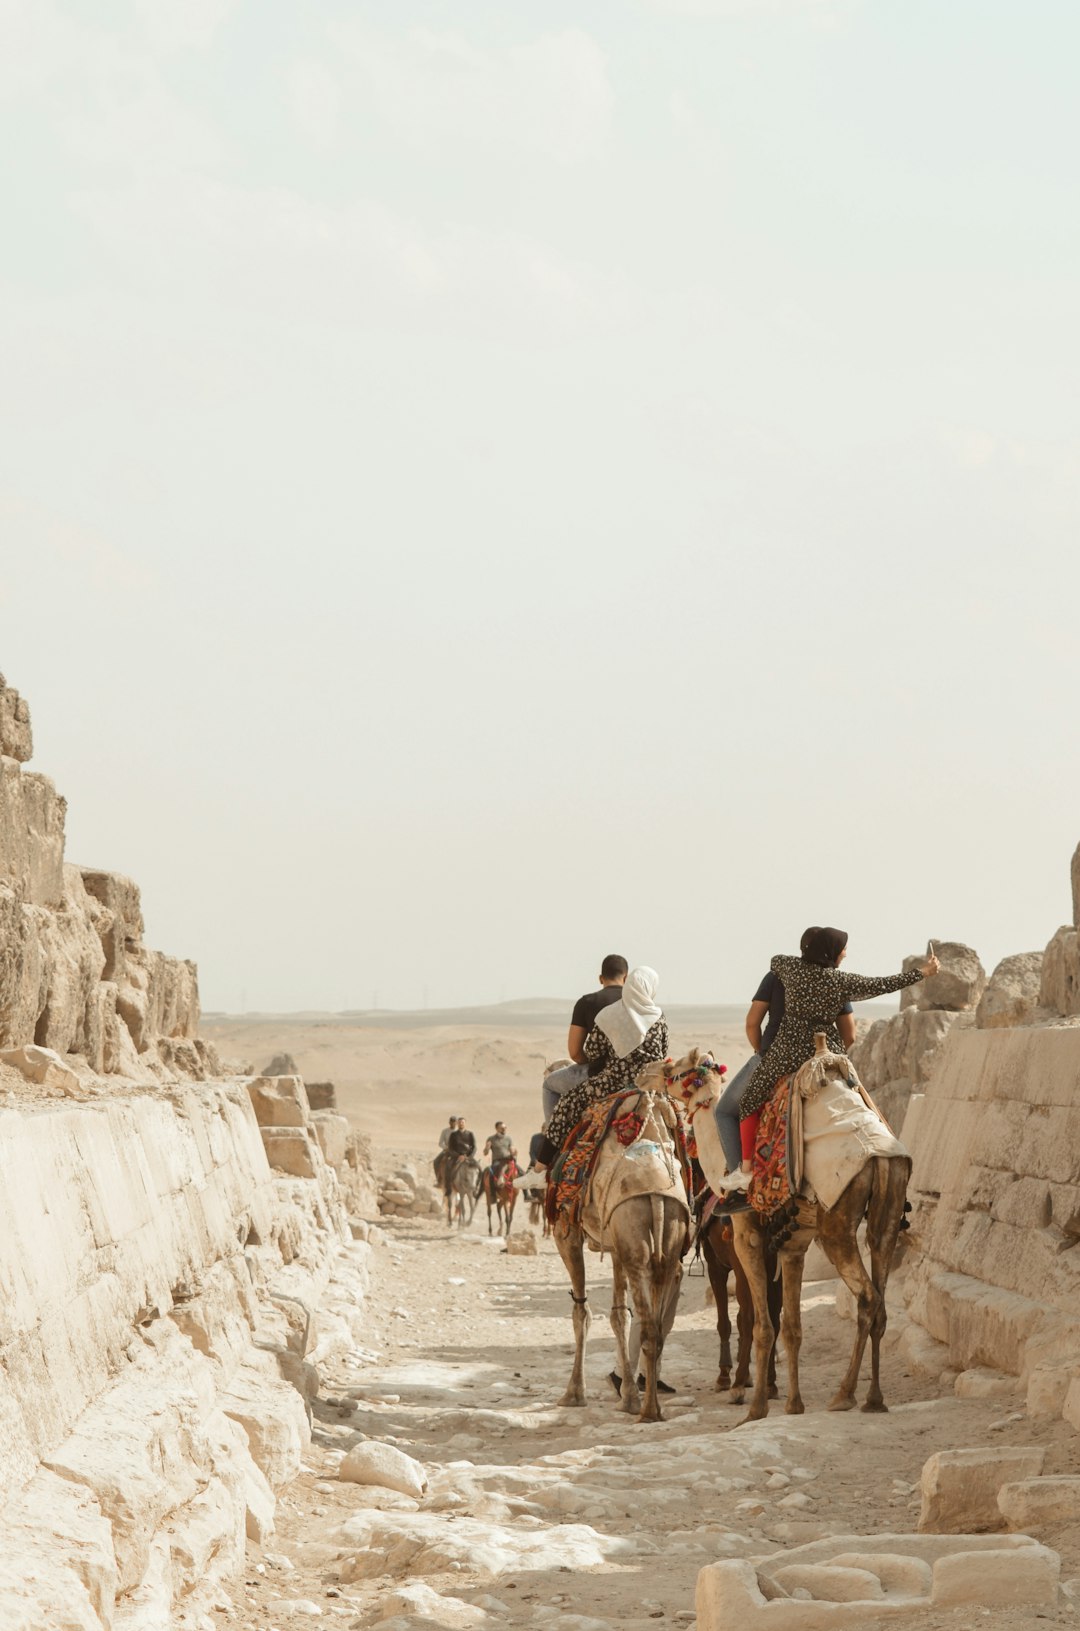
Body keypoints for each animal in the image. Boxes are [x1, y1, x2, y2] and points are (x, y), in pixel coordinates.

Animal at [554, 1089, 688, 1422]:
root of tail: (656, 1195)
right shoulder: (616, 1245)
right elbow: (619, 1315)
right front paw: (627, 1395)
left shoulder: (566, 1233)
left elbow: (581, 1313)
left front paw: (574, 1393)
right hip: (663, 1244)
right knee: (654, 1328)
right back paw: (651, 1406)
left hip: (634, 1240)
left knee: (648, 1325)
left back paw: (649, 1410)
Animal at [652, 1037, 913, 1422]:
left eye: (676, 1069)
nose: (650, 1072)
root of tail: (880, 1155)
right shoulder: (792, 1246)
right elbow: (790, 1327)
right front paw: (793, 1404)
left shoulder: (746, 1238)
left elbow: (760, 1324)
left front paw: (756, 1406)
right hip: (889, 1210)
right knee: (880, 1296)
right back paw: (874, 1398)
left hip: (835, 1224)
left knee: (867, 1297)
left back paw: (844, 1394)